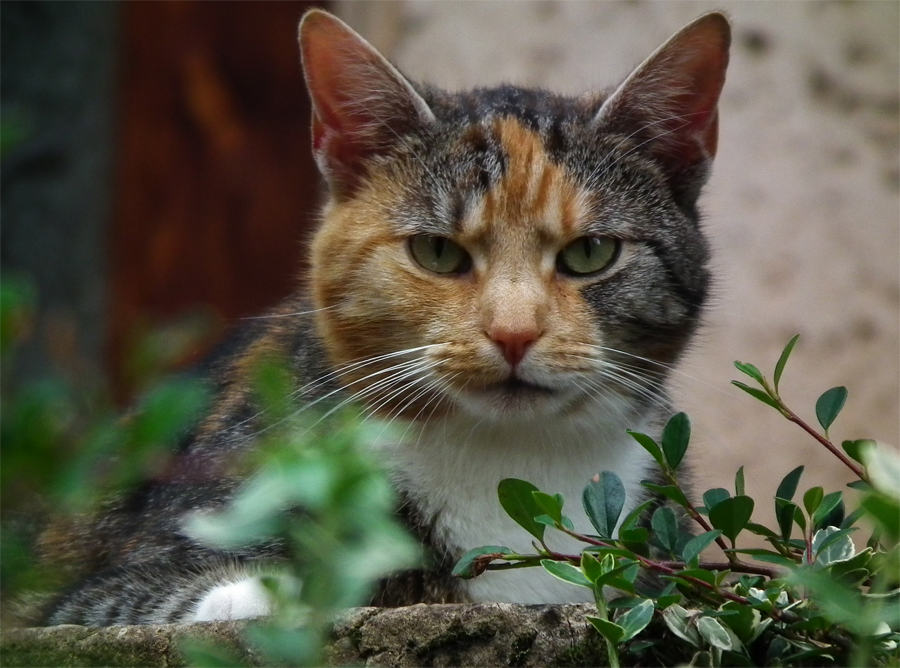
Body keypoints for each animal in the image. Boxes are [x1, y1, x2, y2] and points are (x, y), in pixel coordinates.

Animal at [40, 9, 732, 628]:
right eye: (437, 252)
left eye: (591, 253)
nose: (513, 333)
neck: (509, 460)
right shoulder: (94, 587)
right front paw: (274, 594)